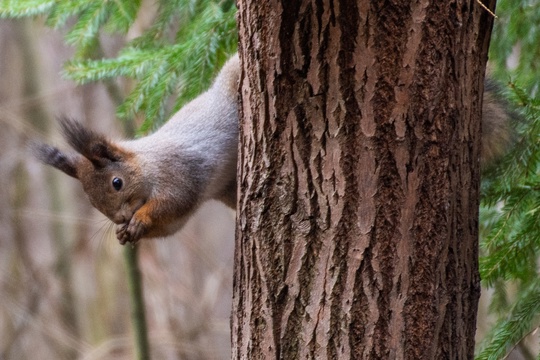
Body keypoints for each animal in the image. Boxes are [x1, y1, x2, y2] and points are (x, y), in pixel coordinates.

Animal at [31, 53, 512, 245]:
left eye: (116, 182)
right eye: (94, 203)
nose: (117, 219)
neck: (146, 165)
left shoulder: (179, 173)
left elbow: (173, 204)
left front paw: (139, 223)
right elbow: (173, 224)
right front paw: (126, 234)